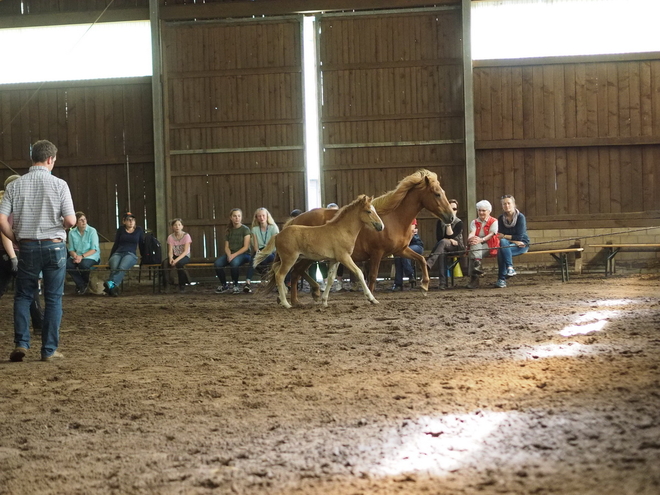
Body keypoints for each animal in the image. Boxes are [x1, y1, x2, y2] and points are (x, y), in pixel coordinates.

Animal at [255, 196, 384, 308]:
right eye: (368, 211)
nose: (381, 226)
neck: (342, 230)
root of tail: (277, 235)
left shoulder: (335, 260)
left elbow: (331, 279)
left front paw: (324, 301)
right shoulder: (344, 257)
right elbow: (359, 273)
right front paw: (372, 299)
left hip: (291, 258)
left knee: (276, 268)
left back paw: (284, 296)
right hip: (289, 259)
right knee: (280, 275)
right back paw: (286, 304)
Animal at [266, 170, 454, 306]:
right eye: (437, 194)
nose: (451, 217)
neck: (394, 217)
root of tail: (293, 221)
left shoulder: (400, 250)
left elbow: (421, 259)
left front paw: (424, 286)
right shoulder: (377, 253)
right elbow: (371, 276)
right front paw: (370, 296)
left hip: (306, 257)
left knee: (295, 273)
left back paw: (303, 296)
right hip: (305, 257)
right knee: (292, 273)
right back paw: (295, 299)